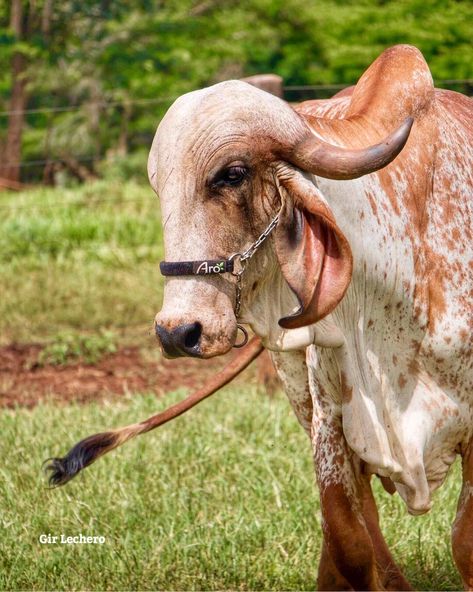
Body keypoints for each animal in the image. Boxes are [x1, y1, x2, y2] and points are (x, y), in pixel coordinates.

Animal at [47, 44, 472, 588]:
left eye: (232, 174)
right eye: (160, 189)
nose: (178, 331)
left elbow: (464, 543)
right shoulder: (329, 418)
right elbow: (349, 539)